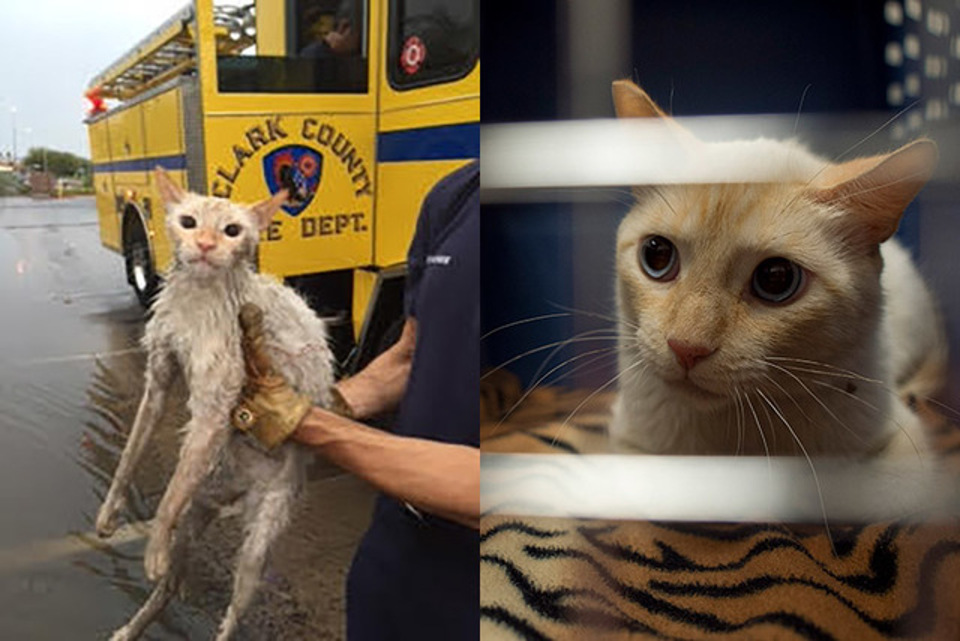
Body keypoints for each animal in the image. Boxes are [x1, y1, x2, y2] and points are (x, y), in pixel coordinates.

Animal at [94, 170, 334, 640]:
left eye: (233, 230)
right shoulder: (158, 380)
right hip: (199, 510)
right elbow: (130, 454)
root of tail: (235, 493)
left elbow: (168, 497)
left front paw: (153, 547)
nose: (205, 244)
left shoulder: (215, 404)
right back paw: (131, 629)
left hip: (258, 543)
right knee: (169, 588)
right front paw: (109, 514)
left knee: (232, 613)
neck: (196, 297)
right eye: (188, 222)